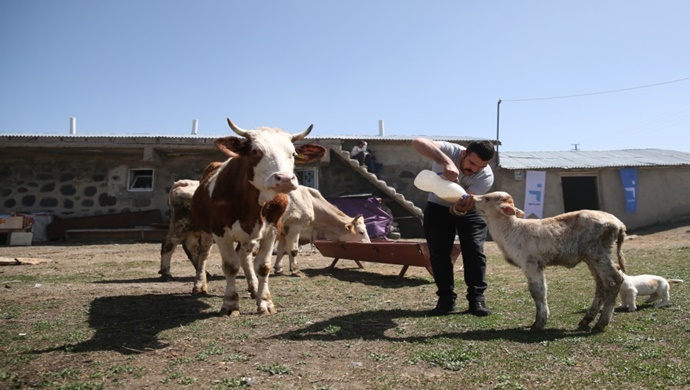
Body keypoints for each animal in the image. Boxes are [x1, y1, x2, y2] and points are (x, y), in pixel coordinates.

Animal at [191, 117, 326, 316]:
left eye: (293, 153)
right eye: (255, 151)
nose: (285, 179)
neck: (254, 203)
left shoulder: (272, 230)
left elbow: (263, 266)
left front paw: (265, 302)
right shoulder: (220, 232)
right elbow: (230, 267)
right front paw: (230, 303)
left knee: (244, 256)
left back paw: (253, 286)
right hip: (205, 229)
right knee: (204, 254)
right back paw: (199, 285)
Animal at [472, 190, 624, 330]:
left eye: (487, 198)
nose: (471, 197)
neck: (509, 230)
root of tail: (618, 222)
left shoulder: (532, 264)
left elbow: (538, 291)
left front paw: (539, 323)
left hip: (598, 253)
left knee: (614, 281)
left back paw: (600, 323)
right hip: (591, 258)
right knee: (601, 284)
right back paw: (587, 319)